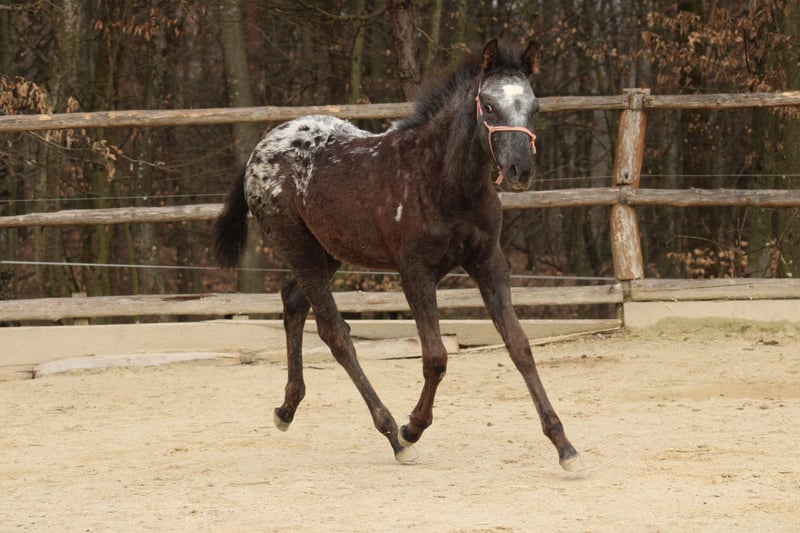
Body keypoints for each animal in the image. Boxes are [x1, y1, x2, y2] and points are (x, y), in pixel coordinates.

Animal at [214, 39, 583, 471]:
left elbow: (520, 347)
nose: (519, 169)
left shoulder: (489, 262)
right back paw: (391, 433)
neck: (444, 181)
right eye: (489, 106)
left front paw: (564, 445)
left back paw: (286, 409)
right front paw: (412, 428)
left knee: (293, 301)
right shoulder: (415, 272)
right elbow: (436, 357)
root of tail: (261, 149)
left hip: (330, 250)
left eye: (535, 107)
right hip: (297, 246)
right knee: (335, 333)